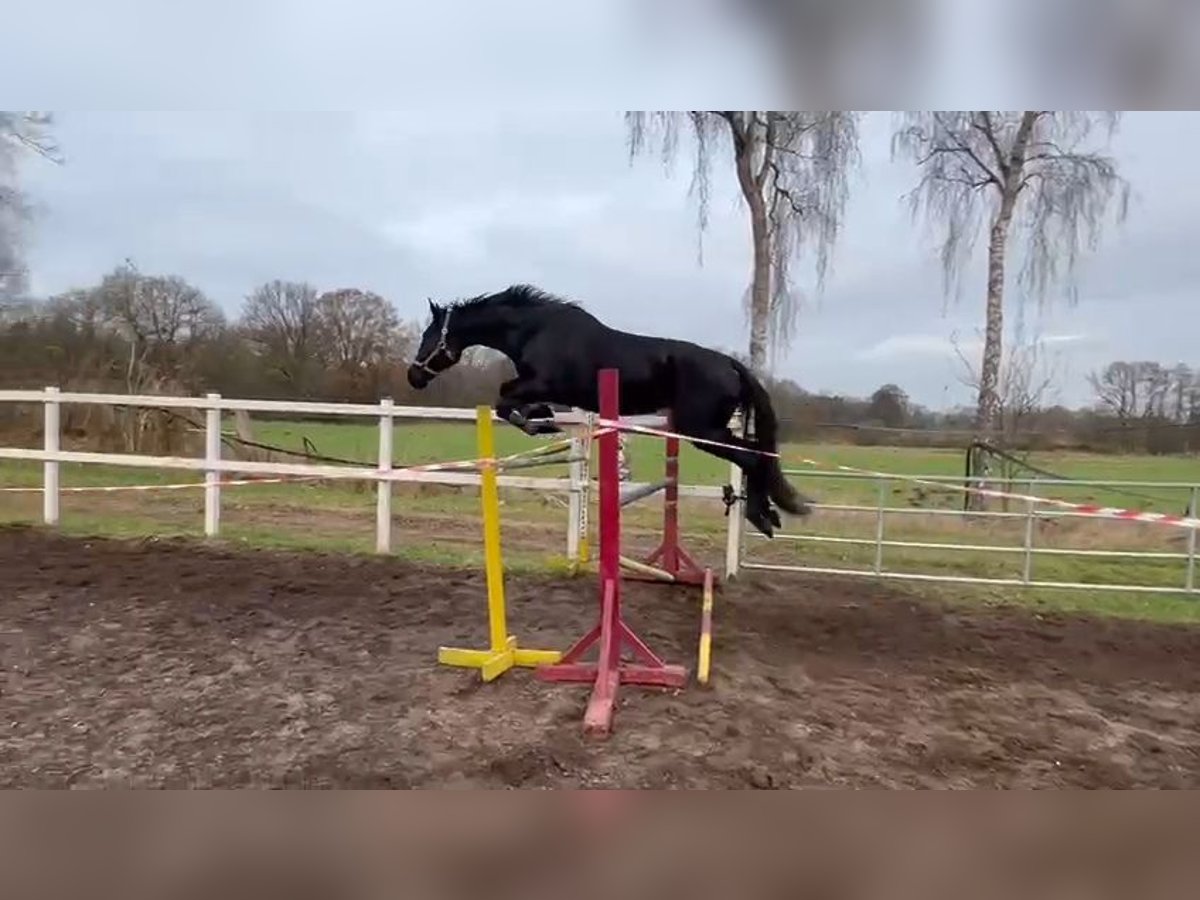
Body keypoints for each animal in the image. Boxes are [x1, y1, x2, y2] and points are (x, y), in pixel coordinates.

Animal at [405, 284, 813, 538]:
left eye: (428, 336)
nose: (413, 376)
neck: (536, 330)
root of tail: (731, 364)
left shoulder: (543, 383)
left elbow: (506, 400)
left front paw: (539, 424)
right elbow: (514, 402)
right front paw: (542, 419)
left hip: (701, 430)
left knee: (751, 457)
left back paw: (761, 516)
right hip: (707, 429)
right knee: (756, 456)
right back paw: (768, 515)